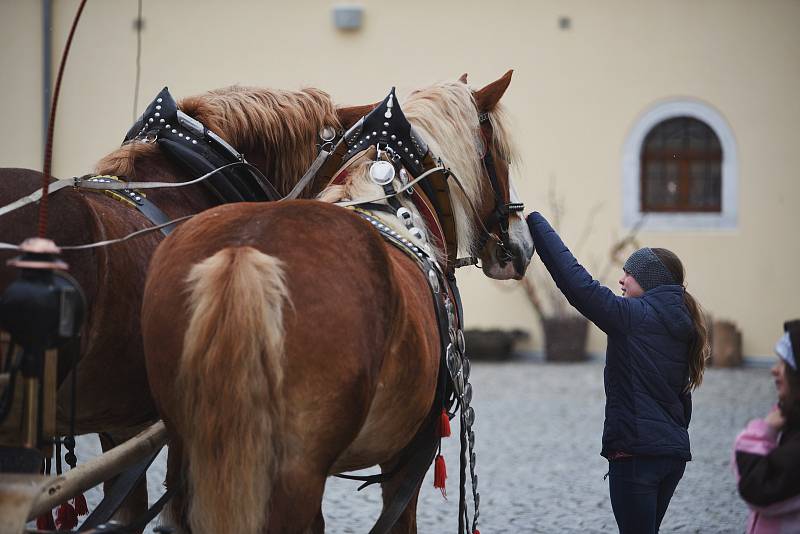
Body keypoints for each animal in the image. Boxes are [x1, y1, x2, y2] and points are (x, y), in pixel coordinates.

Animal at [141, 71, 536, 534]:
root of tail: (244, 252)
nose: (523, 245)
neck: (391, 199)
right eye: (502, 156)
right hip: (297, 476)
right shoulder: (408, 455)